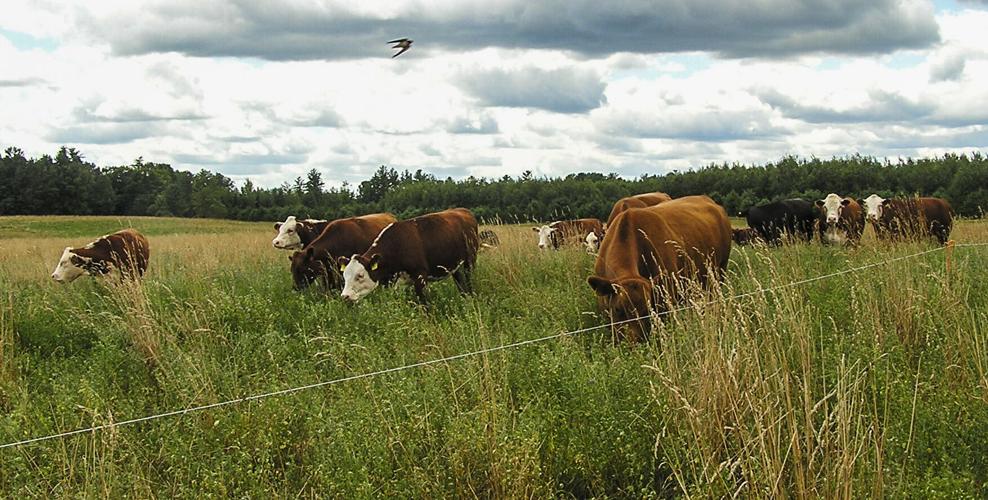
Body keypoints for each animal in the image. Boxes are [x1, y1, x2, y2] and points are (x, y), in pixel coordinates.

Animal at [339, 208, 480, 304]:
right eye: (344, 275)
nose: (345, 296)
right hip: (454, 265)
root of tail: (462, 210)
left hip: (470, 261)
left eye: (360, 275)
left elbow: (424, 305)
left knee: (469, 280)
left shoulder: (420, 276)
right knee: (460, 282)